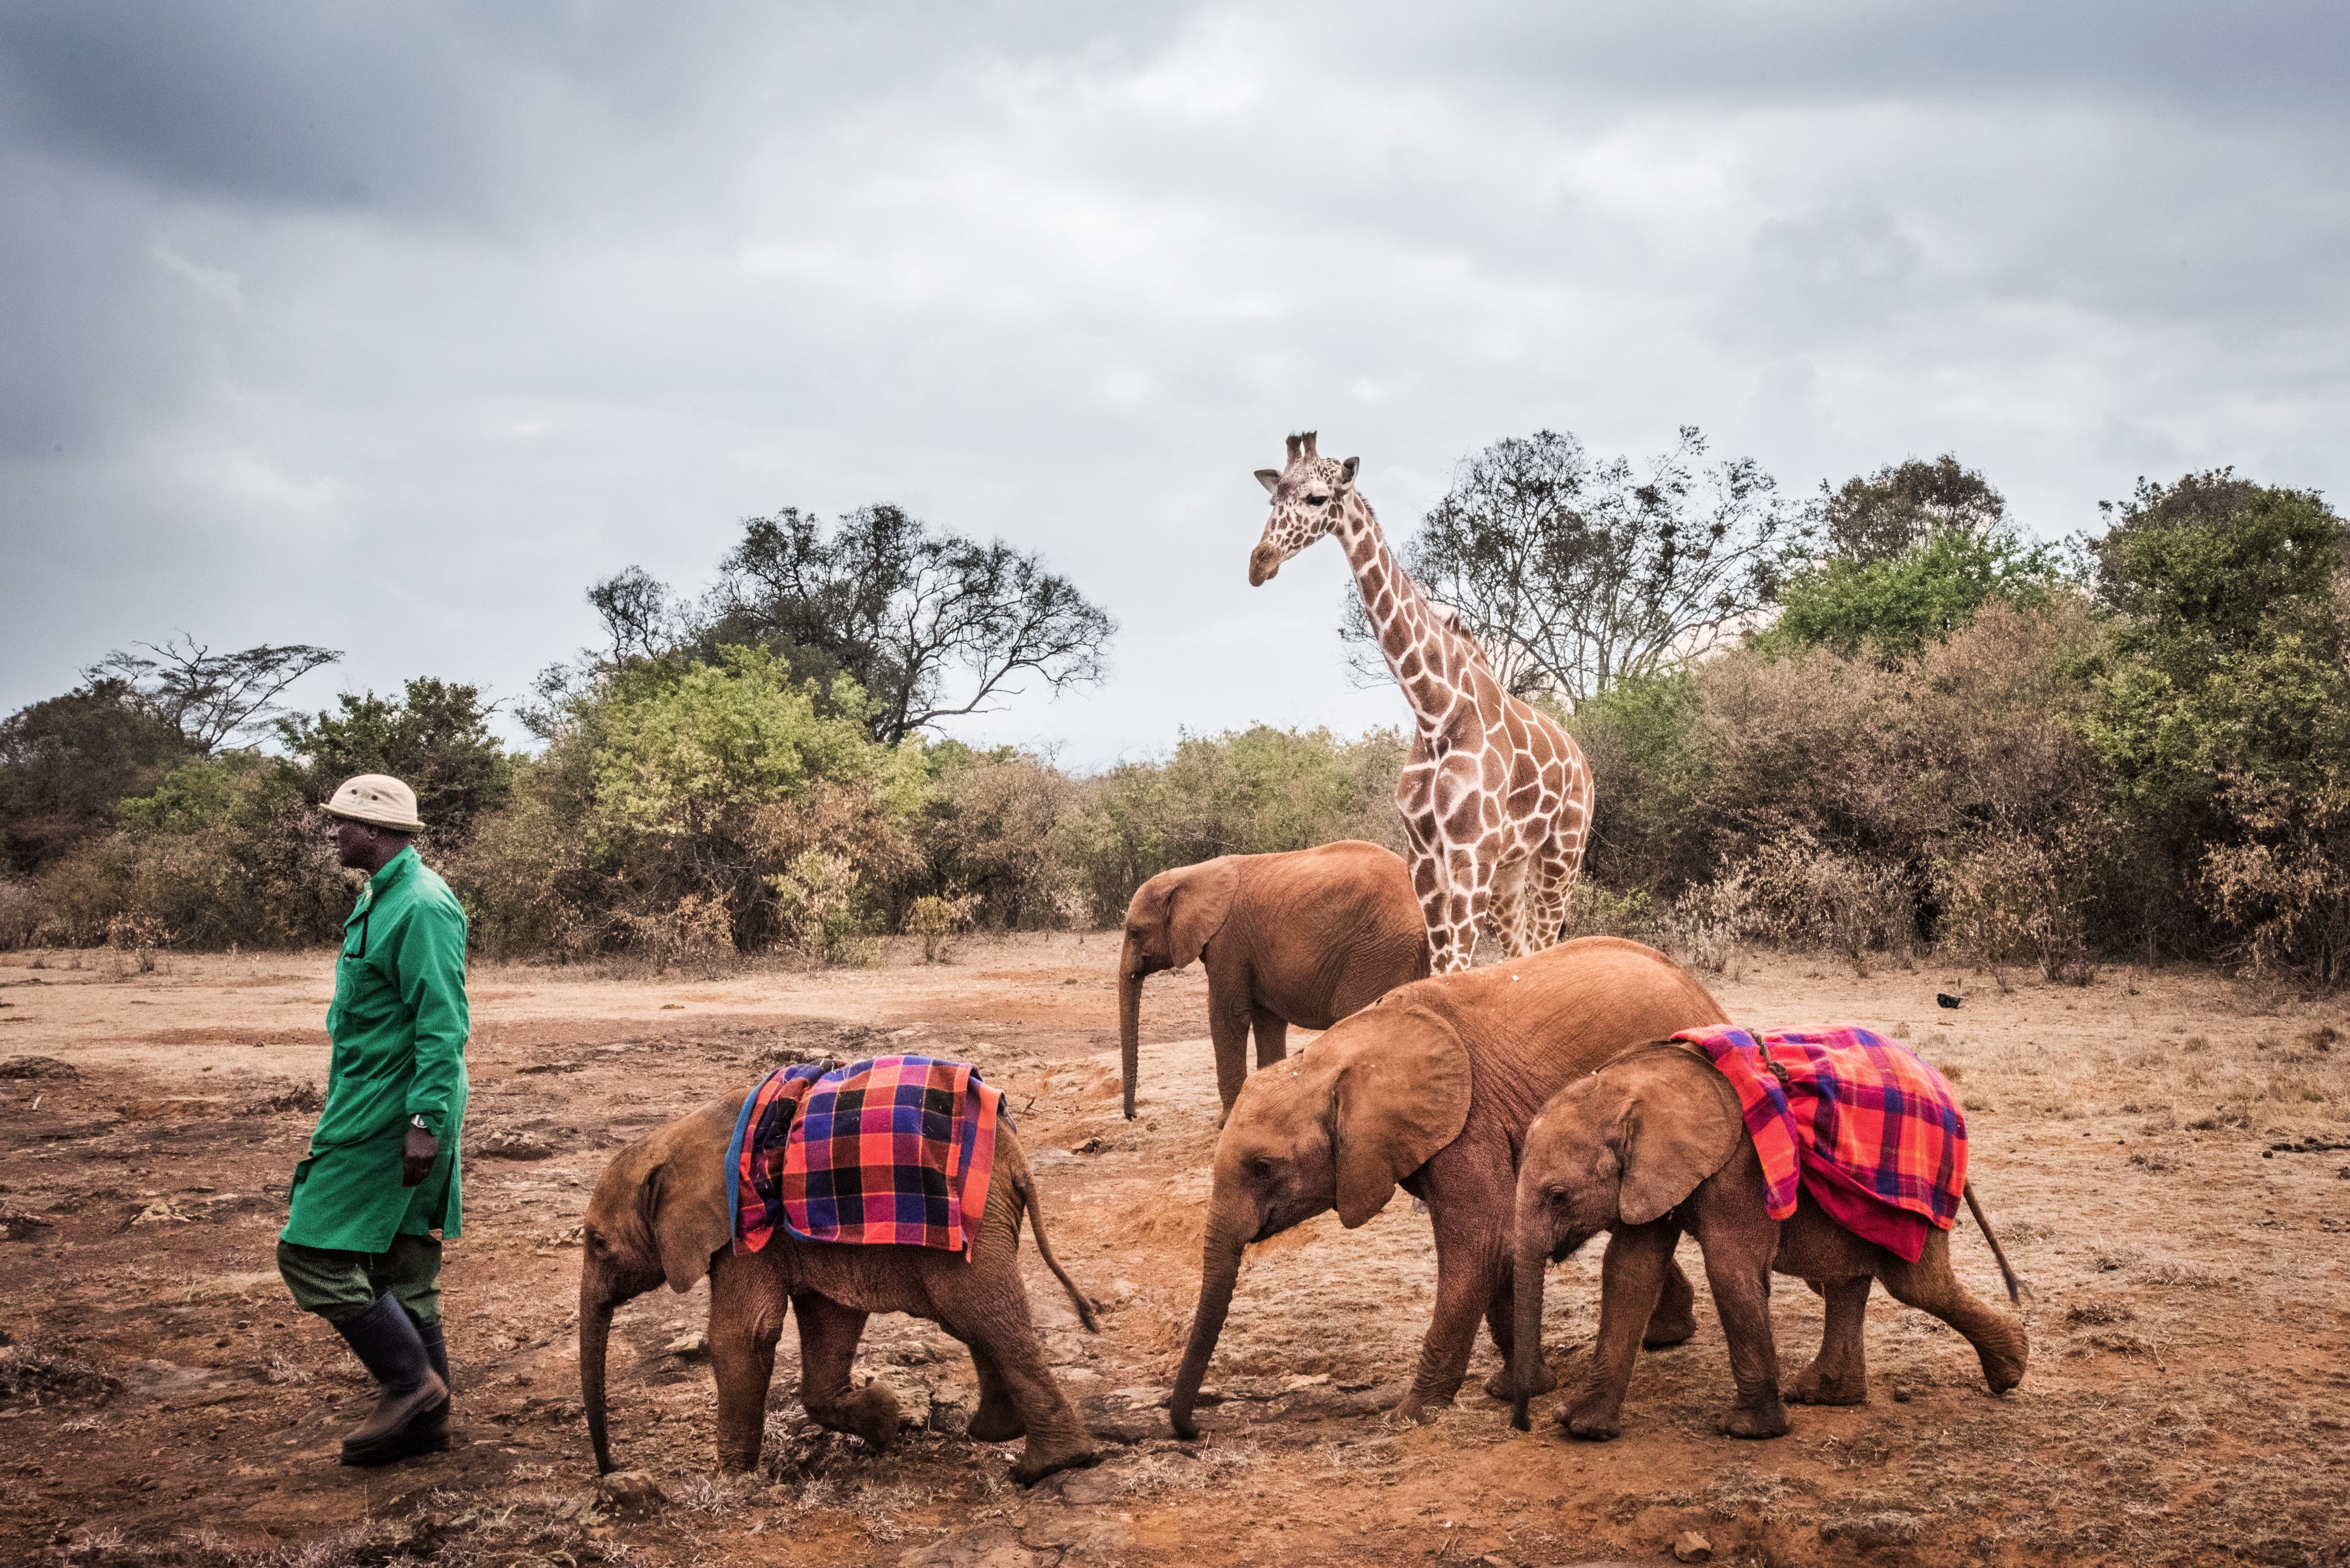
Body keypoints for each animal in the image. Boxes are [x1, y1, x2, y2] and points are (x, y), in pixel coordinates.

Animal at [580, 1092, 1102, 1484]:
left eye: (597, 1243)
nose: (611, 1470)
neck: (673, 1139)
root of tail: (1015, 1152)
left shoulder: (743, 1225)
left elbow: (743, 1335)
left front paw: (729, 1478)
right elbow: (827, 1319)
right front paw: (885, 1421)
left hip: (972, 1217)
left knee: (983, 1312)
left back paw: (1047, 1467)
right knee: (973, 1319)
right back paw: (996, 1433)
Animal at [1120, 839, 1428, 1120]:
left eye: (1135, 932)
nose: (1133, 1116)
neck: (1191, 875)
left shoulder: (1228, 940)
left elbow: (1229, 1015)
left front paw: (1226, 1122)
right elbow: (1267, 1020)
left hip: (1377, 950)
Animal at [1168, 937, 1731, 1437]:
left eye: (1262, 1167)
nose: (1192, 1430)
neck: (1340, 1058)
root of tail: (1701, 992)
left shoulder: (1469, 1118)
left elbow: (1484, 1236)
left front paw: (1409, 1417)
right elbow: (1504, 1235)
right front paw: (1517, 1387)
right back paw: (1667, 1334)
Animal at [1508, 1038, 2028, 1442]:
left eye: (1559, 1195)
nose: (1522, 1423)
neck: (1635, 1083)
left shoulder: (1740, 1165)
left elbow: (1729, 1267)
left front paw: (1746, 1432)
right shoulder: (1652, 1173)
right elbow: (1629, 1270)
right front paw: (1580, 1427)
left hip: (1918, 1196)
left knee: (1917, 1286)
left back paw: (2011, 1371)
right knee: (1849, 1279)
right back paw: (1825, 1396)